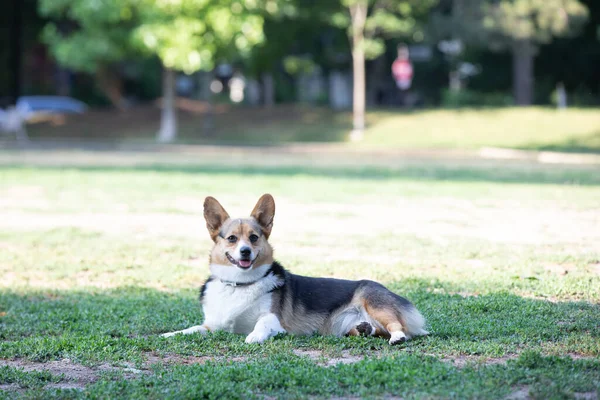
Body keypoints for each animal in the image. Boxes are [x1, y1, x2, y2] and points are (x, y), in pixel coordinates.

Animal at [162, 194, 426, 344]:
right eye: (231, 239)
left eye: (254, 237)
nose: (245, 251)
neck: (240, 284)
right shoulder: (212, 325)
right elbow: (192, 329)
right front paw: (169, 334)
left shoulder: (274, 319)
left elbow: (261, 324)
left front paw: (254, 336)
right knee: (374, 330)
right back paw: (363, 329)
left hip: (375, 304)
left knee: (398, 327)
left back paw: (397, 337)